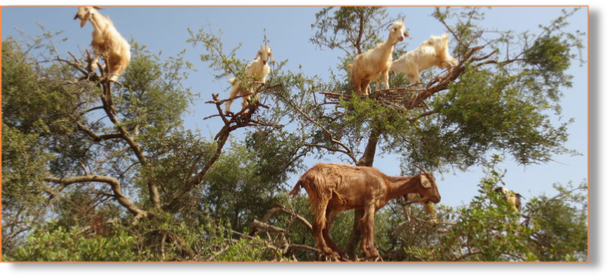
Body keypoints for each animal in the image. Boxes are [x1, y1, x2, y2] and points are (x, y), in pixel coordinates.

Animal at [288, 163, 440, 260]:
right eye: (431, 185)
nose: (438, 198)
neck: (386, 183)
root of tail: (305, 177)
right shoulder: (370, 201)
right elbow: (370, 225)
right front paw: (373, 252)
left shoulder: (362, 206)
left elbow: (361, 226)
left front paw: (365, 252)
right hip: (323, 195)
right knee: (318, 225)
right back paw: (329, 251)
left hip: (330, 204)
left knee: (325, 228)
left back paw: (341, 253)